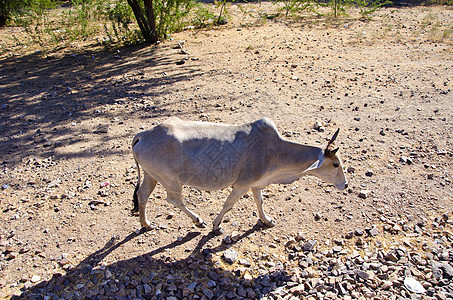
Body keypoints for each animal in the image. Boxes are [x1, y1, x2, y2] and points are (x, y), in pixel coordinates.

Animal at [131, 117, 346, 234]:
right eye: (335, 164)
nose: (345, 185)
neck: (274, 150)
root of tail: (144, 134)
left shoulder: (256, 184)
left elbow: (259, 201)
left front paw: (266, 220)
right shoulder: (242, 184)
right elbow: (229, 204)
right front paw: (216, 226)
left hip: (151, 176)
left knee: (142, 195)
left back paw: (146, 224)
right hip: (171, 181)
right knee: (174, 200)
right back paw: (198, 220)